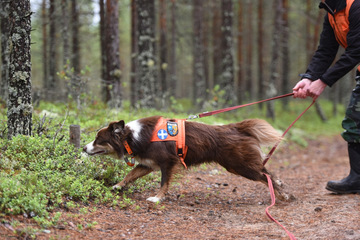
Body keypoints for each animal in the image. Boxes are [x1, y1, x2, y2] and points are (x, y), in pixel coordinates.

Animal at [83, 116, 292, 202]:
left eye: (98, 139)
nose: (83, 148)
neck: (132, 136)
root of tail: (236, 127)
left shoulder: (167, 162)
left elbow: (163, 182)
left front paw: (157, 198)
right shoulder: (148, 164)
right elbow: (130, 174)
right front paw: (117, 186)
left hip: (239, 165)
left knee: (265, 176)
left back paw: (283, 195)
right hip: (241, 165)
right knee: (267, 172)